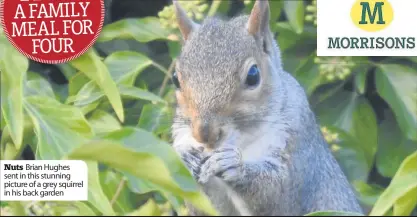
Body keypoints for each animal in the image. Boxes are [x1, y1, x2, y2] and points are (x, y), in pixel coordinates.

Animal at [169, 0, 360, 215]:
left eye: (253, 75)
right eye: (175, 79)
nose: (204, 134)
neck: (240, 141)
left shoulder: (298, 144)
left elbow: (277, 198)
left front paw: (233, 166)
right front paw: (184, 157)